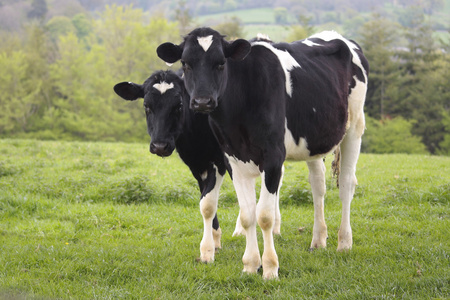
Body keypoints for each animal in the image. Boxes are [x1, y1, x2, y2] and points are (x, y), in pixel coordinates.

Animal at [112, 70, 229, 262]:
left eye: (179, 105)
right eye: (146, 105)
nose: (159, 146)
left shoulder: (218, 160)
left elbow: (208, 204)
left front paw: (206, 251)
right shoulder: (197, 164)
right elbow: (204, 198)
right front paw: (215, 240)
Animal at [158, 28, 370, 278]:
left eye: (221, 63)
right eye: (185, 63)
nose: (202, 101)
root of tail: (336, 35)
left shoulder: (272, 157)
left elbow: (265, 216)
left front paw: (270, 268)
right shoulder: (233, 159)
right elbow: (248, 215)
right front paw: (250, 264)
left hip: (354, 127)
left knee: (346, 184)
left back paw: (344, 242)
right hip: (314, 141)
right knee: (318, 185)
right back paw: (318, 240)